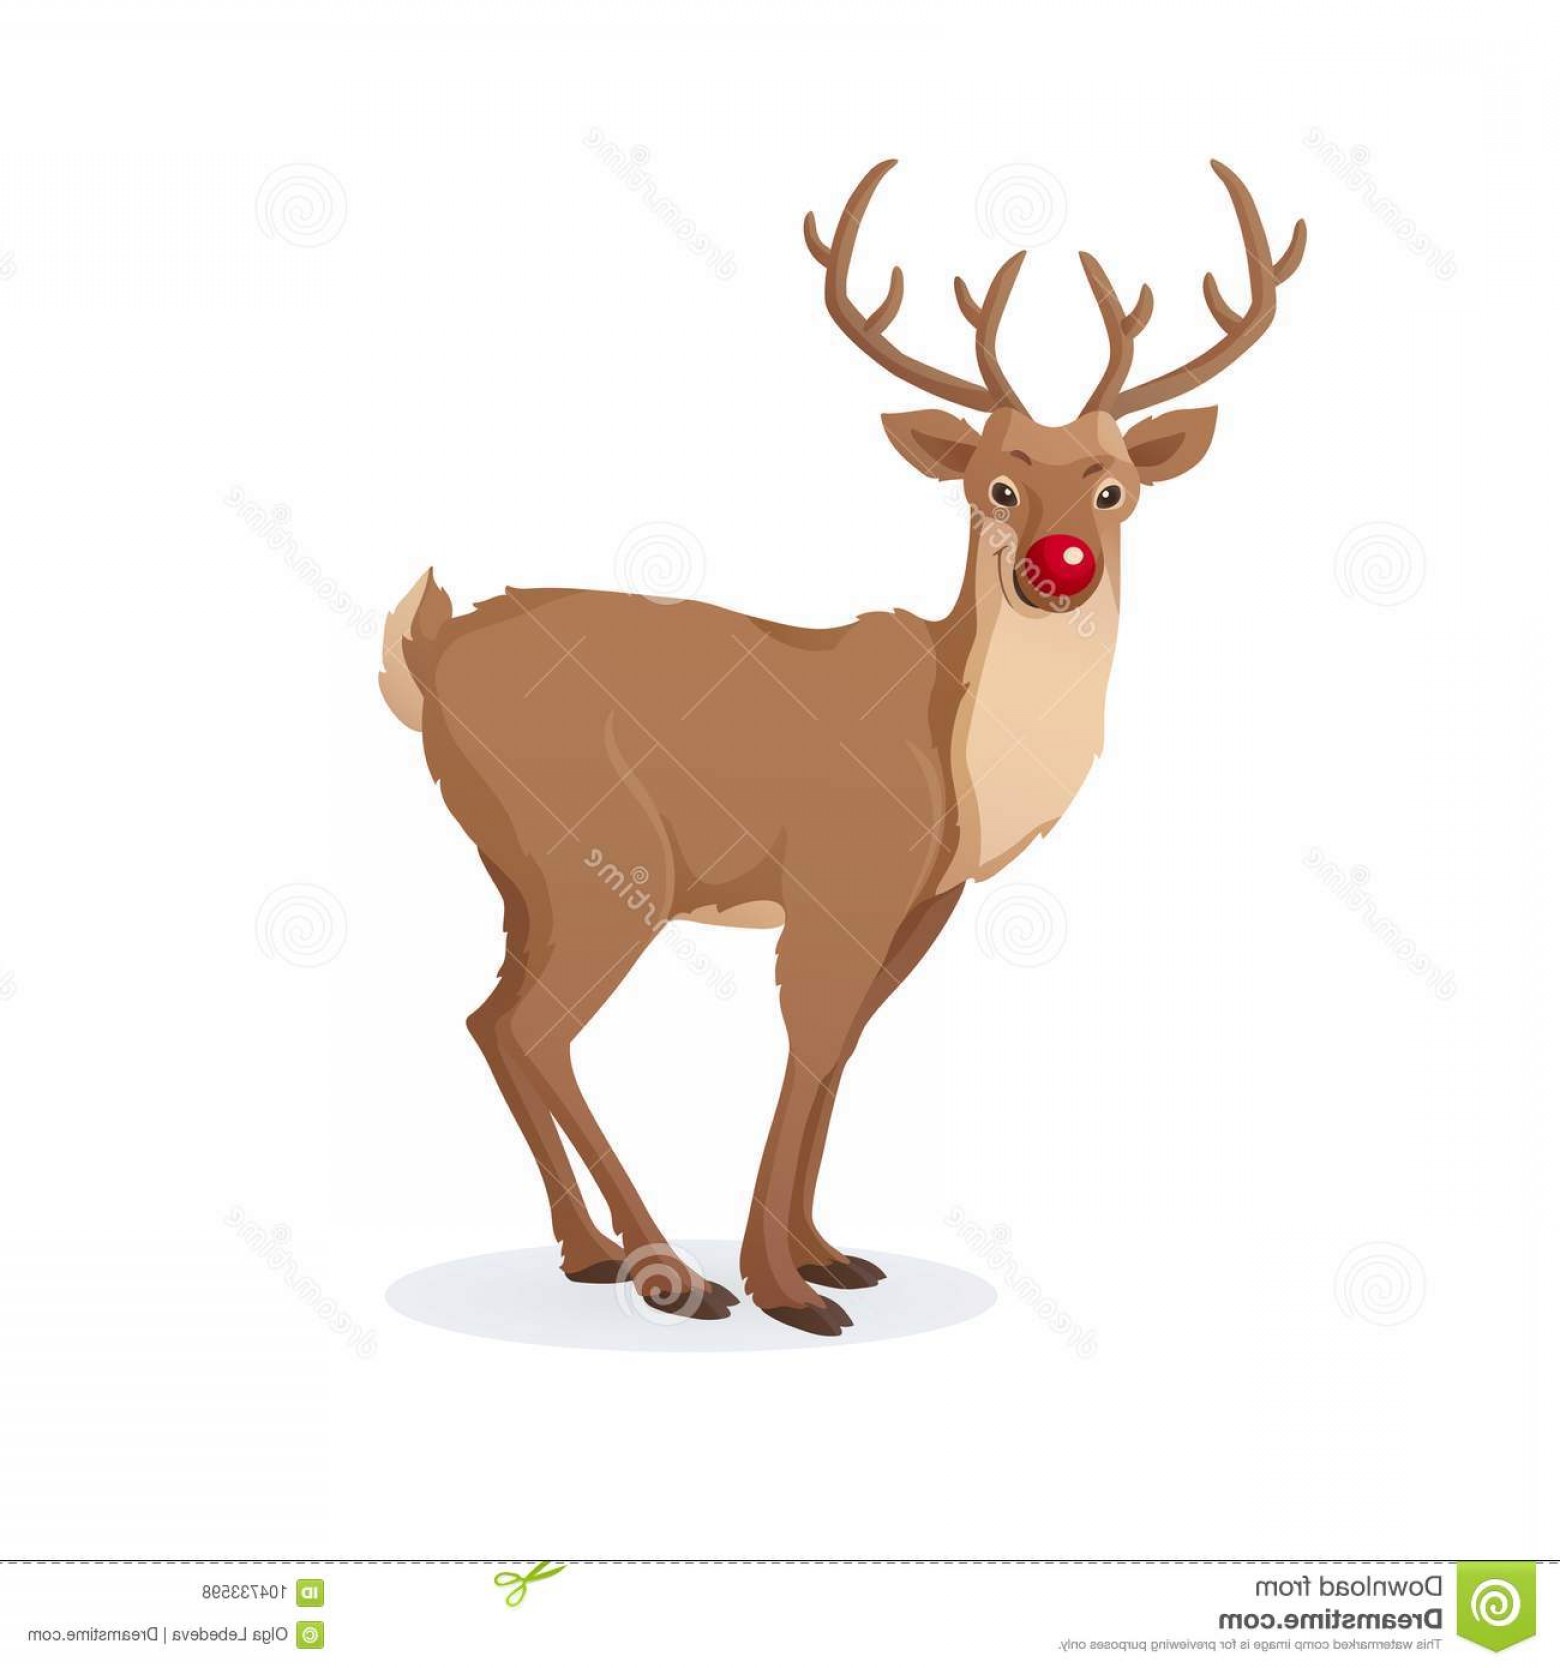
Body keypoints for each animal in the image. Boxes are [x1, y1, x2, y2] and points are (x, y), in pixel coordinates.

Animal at [380, 158, 1304, 1335]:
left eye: (1113, 488)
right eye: (995, 486)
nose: (1060, 564)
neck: (959, 764)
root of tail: (427, 652)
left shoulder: (918, 901)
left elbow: (843, 1054)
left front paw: (828, 1256)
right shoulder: (840, 876)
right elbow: (809, 1044)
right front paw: (787, 1292)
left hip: (522, 871)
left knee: (490, 1017)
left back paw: (592, 1254)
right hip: (604, 854)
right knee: (537, 1027)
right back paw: (672, 1274)